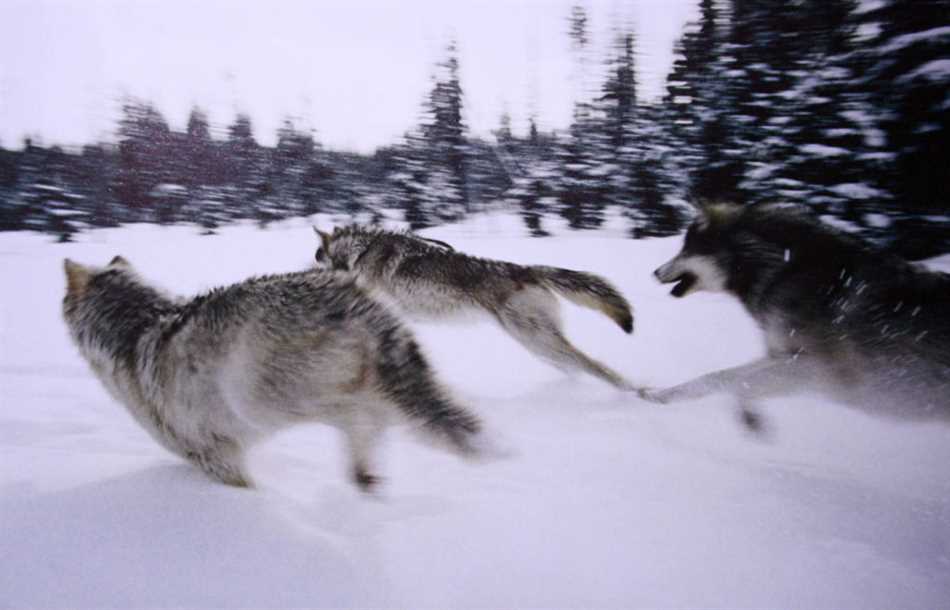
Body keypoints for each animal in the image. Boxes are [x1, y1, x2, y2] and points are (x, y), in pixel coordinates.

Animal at [61, 255, 490, 490]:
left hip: (259, 399)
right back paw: (366, 475)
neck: (137, 323)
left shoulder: (216, 456)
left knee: (356, 415)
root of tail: (356, 301)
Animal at [316, 224, 636, 390]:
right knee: (577, 367)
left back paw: (638, 391)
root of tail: (529, 270)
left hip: (536, 340)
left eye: (317, 257)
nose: (310, 271)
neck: (361, 252)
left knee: (594, 366)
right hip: (540, 346)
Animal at [648, 202, 950, 426]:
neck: (778, 269)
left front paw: (750, 417)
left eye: (686, 249)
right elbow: (716, 377)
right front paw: (659, 396)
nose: (654, 272)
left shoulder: (820, 371)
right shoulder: (782, 356)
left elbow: (735, 382)